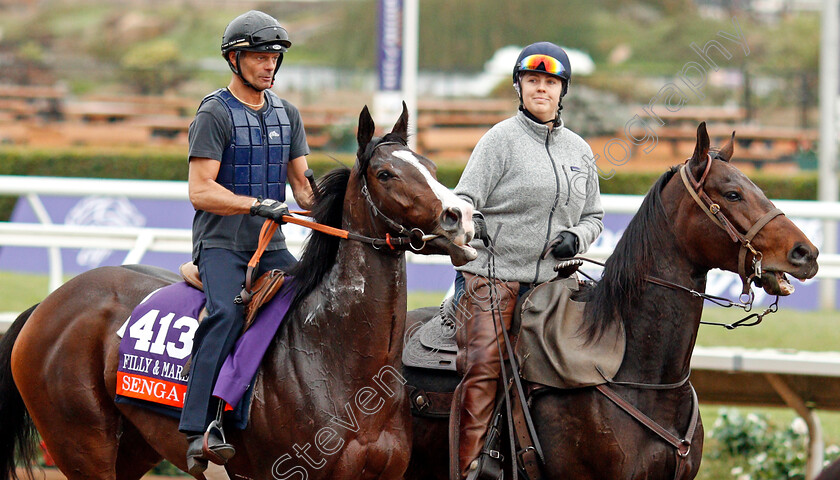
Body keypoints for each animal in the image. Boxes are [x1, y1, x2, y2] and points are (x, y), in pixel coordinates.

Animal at [0, 105, 476, 480]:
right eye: (385, 173)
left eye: (431, 168)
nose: (461, 218)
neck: (335, 353)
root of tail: (47, 304)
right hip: (82, 444)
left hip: (132, 447)